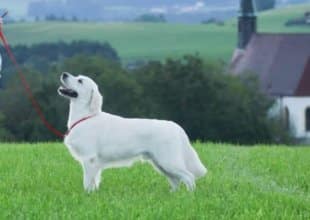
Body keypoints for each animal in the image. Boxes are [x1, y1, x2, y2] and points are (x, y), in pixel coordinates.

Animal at [58, 72, 208, 192]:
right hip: (160, 163)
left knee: (189, 177)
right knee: (176, 180)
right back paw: (174, 195)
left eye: (80, 81)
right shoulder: (93, 162)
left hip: (169, 161)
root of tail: (175, 126)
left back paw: (189, 195)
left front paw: (87, 194)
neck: (86, 116)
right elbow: (94, 181)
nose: (64, 74)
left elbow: (88, 181)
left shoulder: (89, 158)